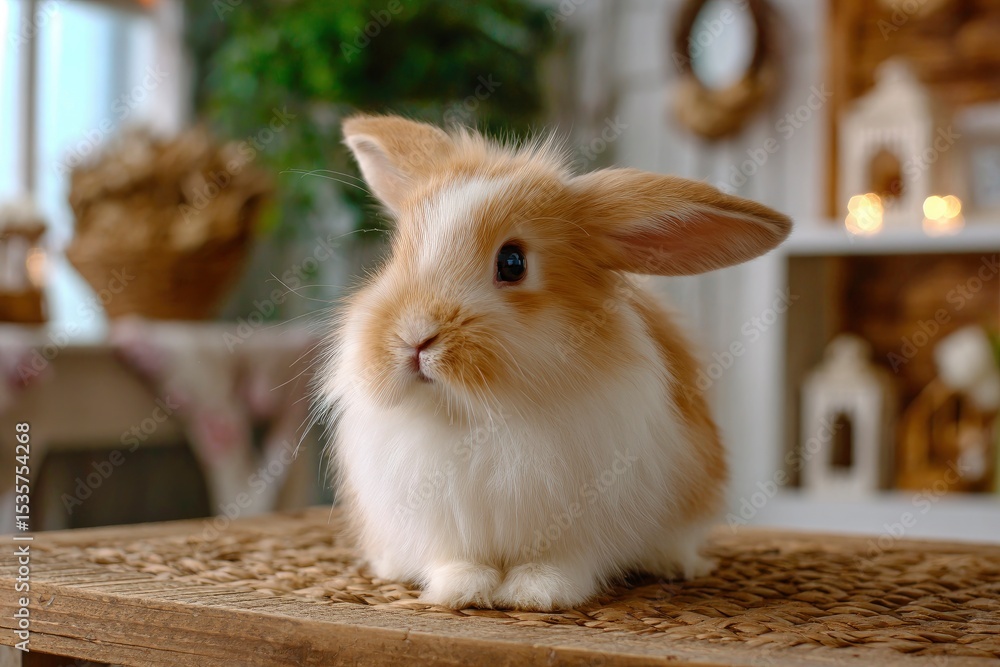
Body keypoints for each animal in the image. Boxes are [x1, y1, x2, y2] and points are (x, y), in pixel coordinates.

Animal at [319, 114, 792, 611]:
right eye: (397, 254)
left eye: (513, 263)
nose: (413, 337)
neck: (475, 414)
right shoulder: (442, 524)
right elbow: (457, 558)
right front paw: (463, 589)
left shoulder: (583, 523)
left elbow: (562, 561)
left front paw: (536, 593)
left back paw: (676, 564)